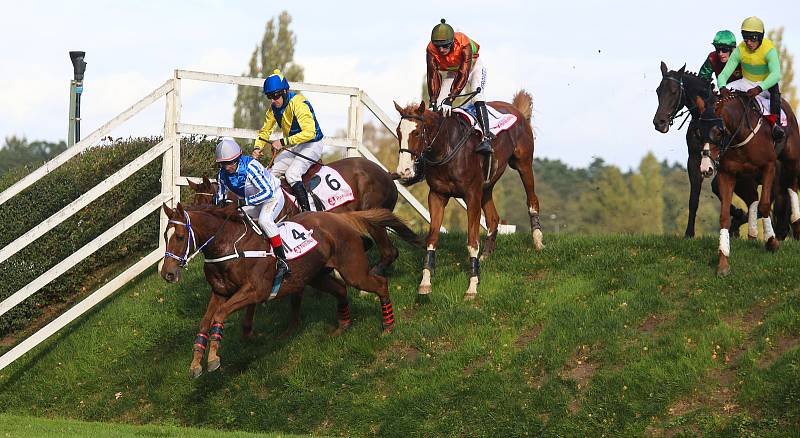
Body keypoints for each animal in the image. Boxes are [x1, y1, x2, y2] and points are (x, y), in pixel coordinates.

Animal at [160, 204, 422, 378]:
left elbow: (220, 314)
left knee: (379, 284)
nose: (167, 274)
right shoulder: (220, 292)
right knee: (340, 289)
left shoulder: (256, 291)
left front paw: (213, 358)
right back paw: (342, 326)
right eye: (165, 236)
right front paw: (196, 363)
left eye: (180, 237)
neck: (230, 247)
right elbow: (205, 322)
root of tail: (340, 217)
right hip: (316, 276)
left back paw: (388, 325)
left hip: (353, 270)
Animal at [394, 89, 544, 302]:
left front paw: (472, 286)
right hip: (487, 184)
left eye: (416, 132)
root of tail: (516, 110)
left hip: (523, 164)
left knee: (532, 200)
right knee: (493, 218)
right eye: (398, 132)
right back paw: (486, 255)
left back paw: (538, 240)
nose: (404, 170)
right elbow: (432, 239)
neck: (447, 148)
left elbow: (472, 242)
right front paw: (425, 282)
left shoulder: (472, 195)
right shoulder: (437, 195)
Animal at [648, 61, 756, 236]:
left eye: (674, 91)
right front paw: (689, 233)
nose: (659, 122)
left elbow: (716, 187)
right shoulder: (694, 158)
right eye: (658, 91)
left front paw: (738, 215)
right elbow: (694, 198)